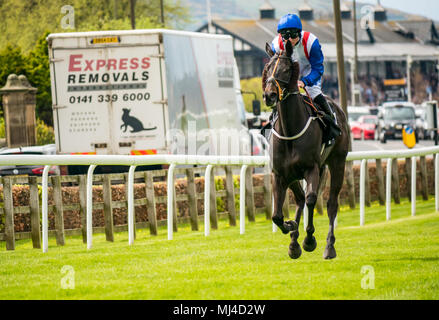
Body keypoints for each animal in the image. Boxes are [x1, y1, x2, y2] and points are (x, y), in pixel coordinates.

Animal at [262, 40, 350, 260]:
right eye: (267, 68)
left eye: (286, 69)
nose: (269, 95)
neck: (291, 129)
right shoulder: (280, 173)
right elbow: (277, 215)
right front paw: (290, 226)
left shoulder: (312, 168)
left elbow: (312, 200)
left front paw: (309, 240)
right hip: (295, 174)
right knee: (300, 198)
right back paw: (294, 242)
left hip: (337, 163)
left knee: (331, 203)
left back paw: (329, 246)